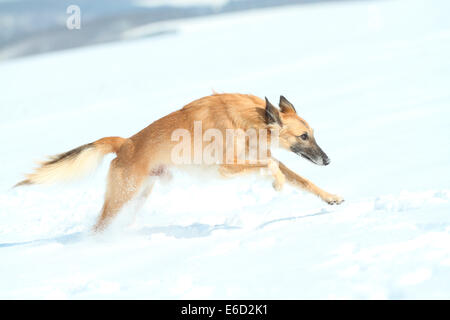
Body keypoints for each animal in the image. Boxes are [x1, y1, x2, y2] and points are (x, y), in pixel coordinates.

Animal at [14, 94, 344, 231]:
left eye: (312, 134)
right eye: (303, 136)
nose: (327, 160)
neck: (248, 121)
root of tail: (125, 142)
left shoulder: (260, 156)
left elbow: (304, 180)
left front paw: (331, 198)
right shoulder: (227, 167)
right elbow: (274, 170)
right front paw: (276, 185)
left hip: (139, 195)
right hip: (123, 196)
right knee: (98, 226)